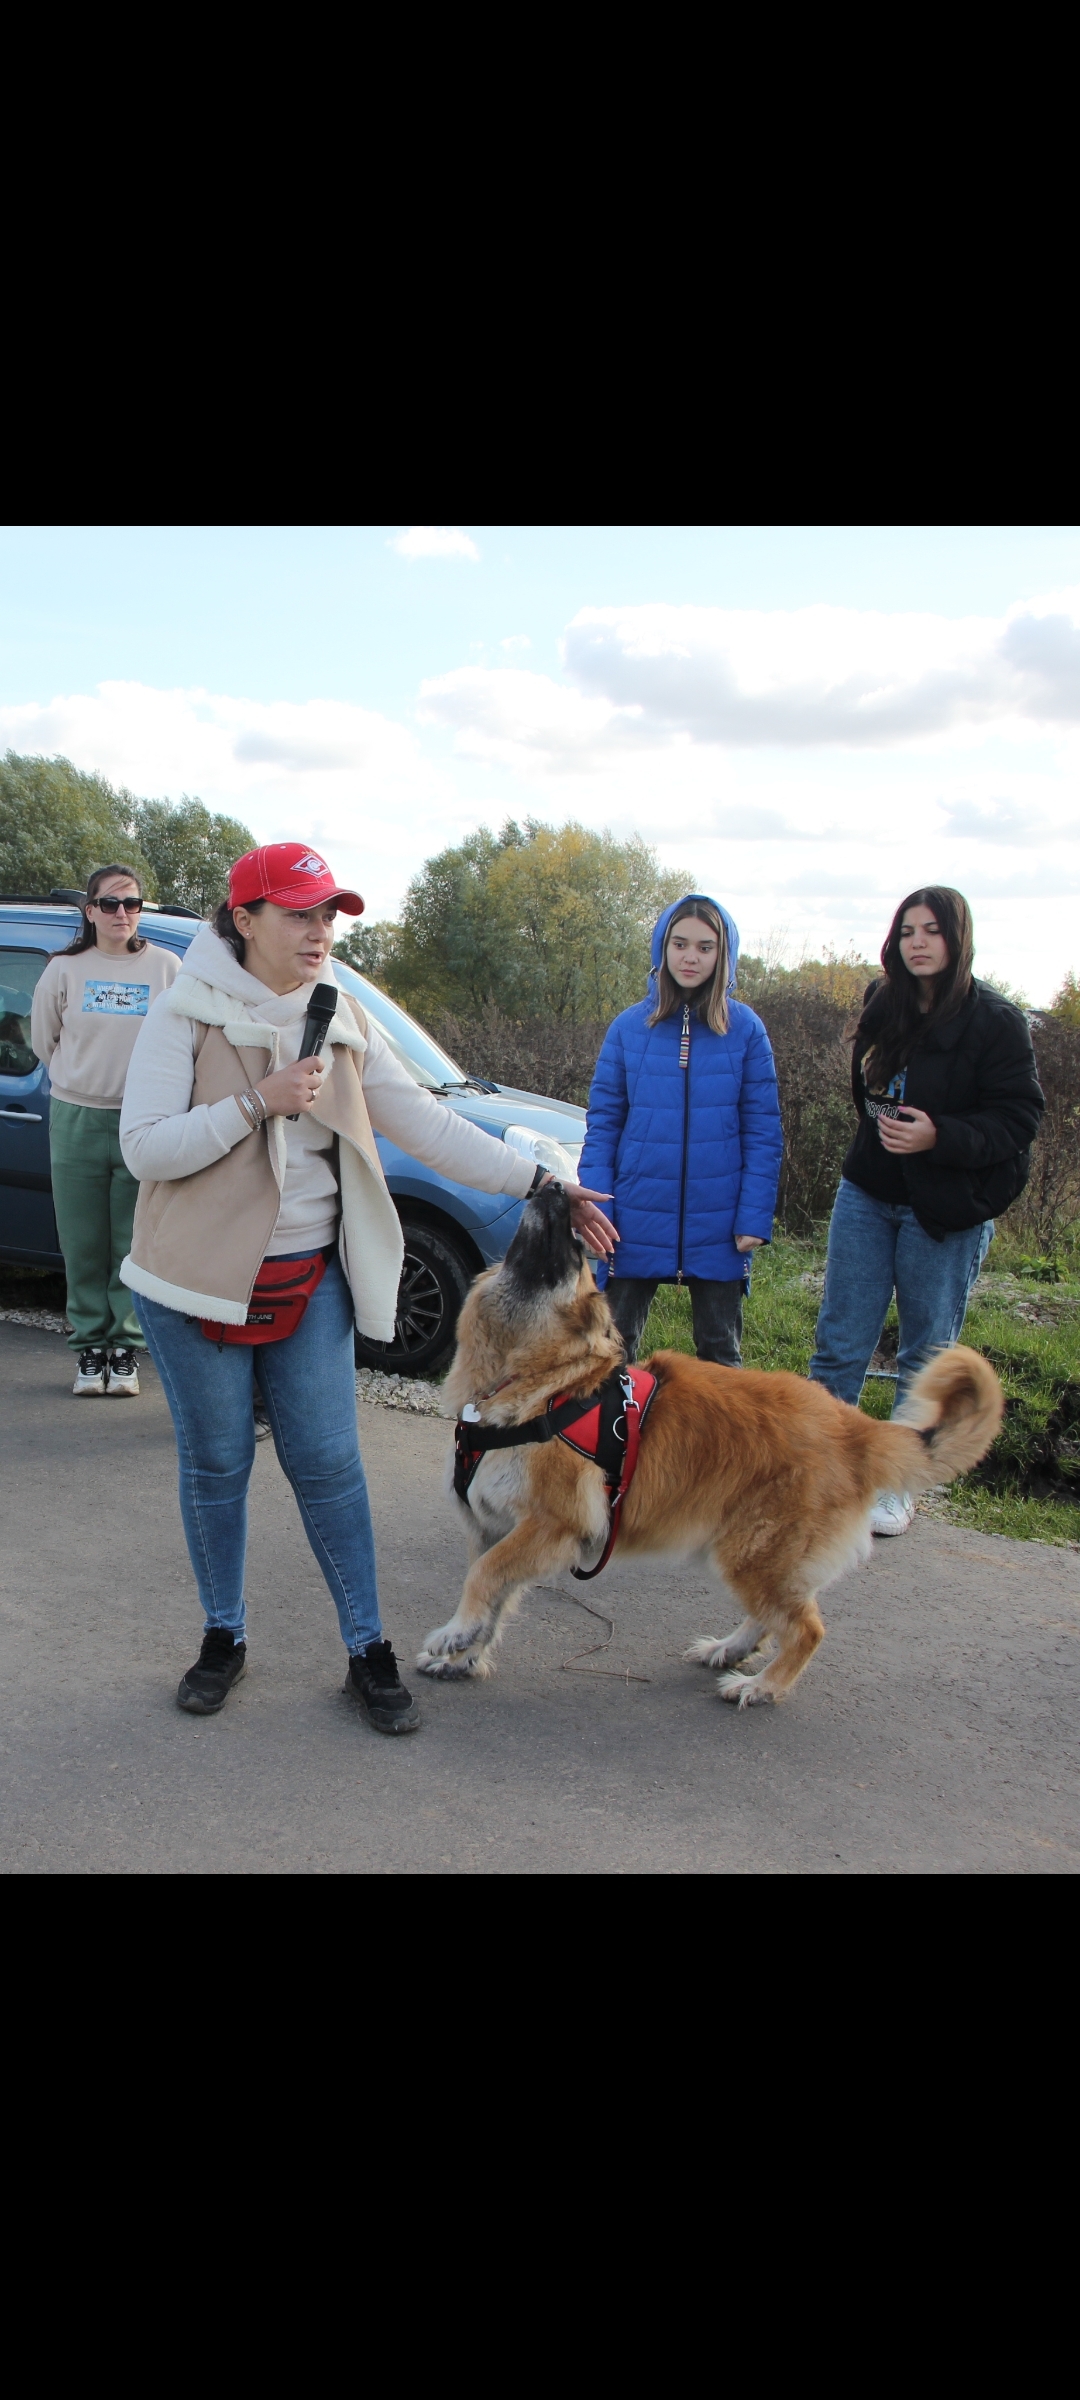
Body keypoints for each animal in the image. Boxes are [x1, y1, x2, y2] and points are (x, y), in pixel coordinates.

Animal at [417, 1185, 1008, 1708]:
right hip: (748, 1553)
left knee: (807, 1628)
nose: (557, 1184)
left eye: (572, 1250)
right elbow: (495, 1598)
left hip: (750, 1553)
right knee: (775, 1617)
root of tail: (853, 1426)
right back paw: (730, 1650)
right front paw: (466, 1654)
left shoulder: (548, 1527)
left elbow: (484, 1577)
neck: (543, 1384)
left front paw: (454, 1634)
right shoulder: (498, 1529)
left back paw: (762, 1686)